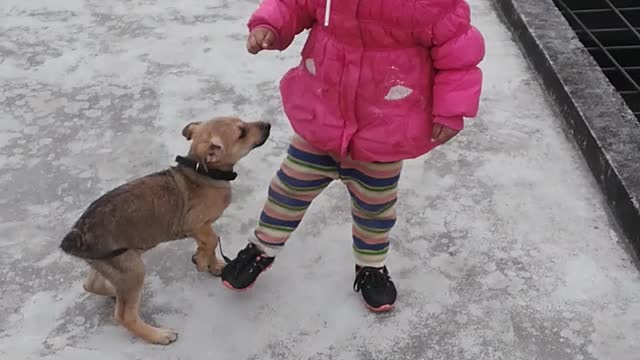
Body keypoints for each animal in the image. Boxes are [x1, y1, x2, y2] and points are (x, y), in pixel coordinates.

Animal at [59, 116, 270, 344]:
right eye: (242, 132)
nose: (268, 124)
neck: (202, 172)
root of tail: (76, 235)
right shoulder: (194, 224)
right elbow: (213, 239)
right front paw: (203, 261)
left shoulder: (201, 228)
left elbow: (209, 242)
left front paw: (210, 262)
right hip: (132, 267)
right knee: (125, 315)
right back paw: (158, 335)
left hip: (113, 262)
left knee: (90, 285)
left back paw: (114, 292)